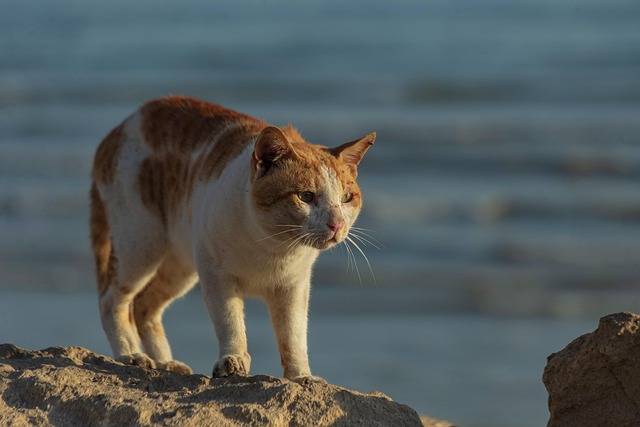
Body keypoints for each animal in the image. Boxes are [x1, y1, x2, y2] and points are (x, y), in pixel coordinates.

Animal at [87, 97, 372, 382]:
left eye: (347, 198)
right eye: (306, 196)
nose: (336, 224)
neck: (272, 247)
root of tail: (118, 130)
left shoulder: (293, 287)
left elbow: (293, 336)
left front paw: (300, 376)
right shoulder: (217, 277)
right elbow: (230, 323)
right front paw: (233, 361)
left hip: (179, 267)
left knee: (144, 306)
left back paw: (165, 362)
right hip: (140, 246)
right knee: (111, 301)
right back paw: (129, 355)